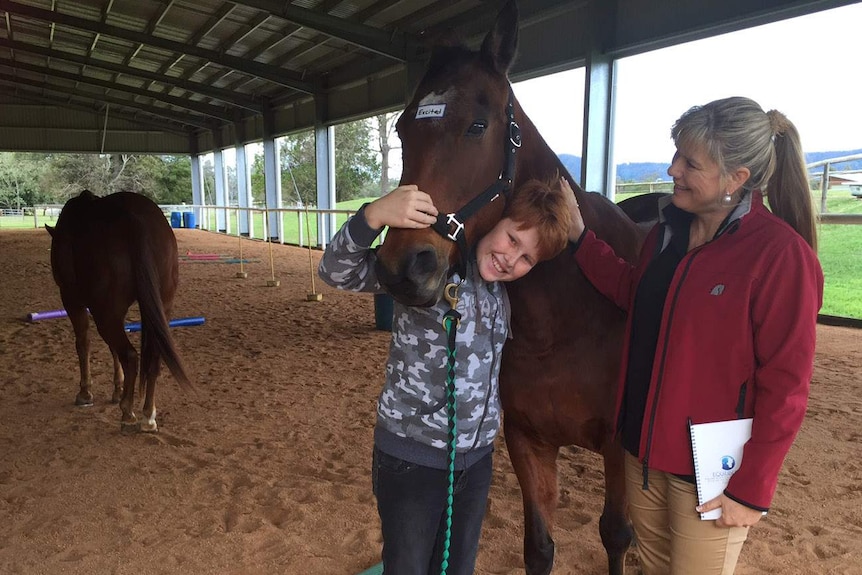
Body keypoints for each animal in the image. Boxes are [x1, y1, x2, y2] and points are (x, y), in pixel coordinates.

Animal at [46, 189, 192, 432]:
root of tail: (133, 218)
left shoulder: (72, 300)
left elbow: (83, 343)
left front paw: (85, 393)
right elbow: (112, 350)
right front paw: (117, 389)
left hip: (104, 314)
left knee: (130, 355)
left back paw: (128, 413)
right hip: (159, 307)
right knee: (152, 358)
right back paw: (148, 416)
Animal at [374, 2, 660, 572]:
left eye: (477, 125)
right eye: (401, 128)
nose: (404, 266)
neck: (568, 316)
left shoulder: (618, 448)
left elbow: (615, 534)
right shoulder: (528, 441)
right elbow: (540, 546)